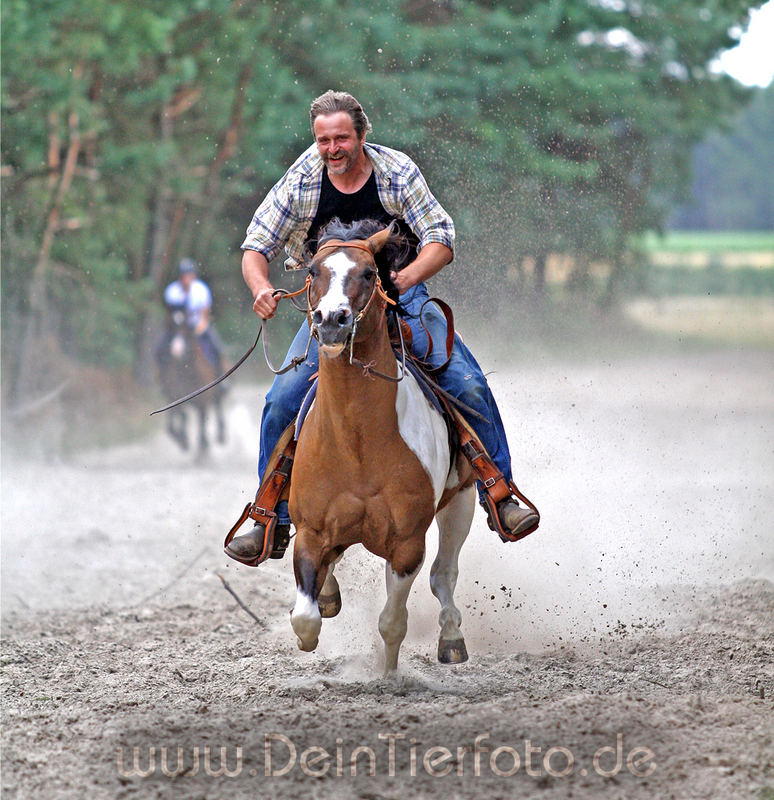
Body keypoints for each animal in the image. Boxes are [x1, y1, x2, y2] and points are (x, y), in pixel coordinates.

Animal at [156, 304, 226, 456]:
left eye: (186, 327)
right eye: (170, 327)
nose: (176, 352)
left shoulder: (203, 398)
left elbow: (201, 420)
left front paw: (202, 447)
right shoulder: (175, 396)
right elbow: (178, 419)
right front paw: (183, 441)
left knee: (217, 406)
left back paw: (220, 435)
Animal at [286, 220, 476, 676]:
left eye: (370, 273)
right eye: (313, 271)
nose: (332, 320)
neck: (357, 441)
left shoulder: (407, 543)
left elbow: (393, 621)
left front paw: (388, 676)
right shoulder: (311, 530)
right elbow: (305, 616)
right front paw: (310, 632)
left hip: (463, 499)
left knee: (444, 574)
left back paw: (451, 638)